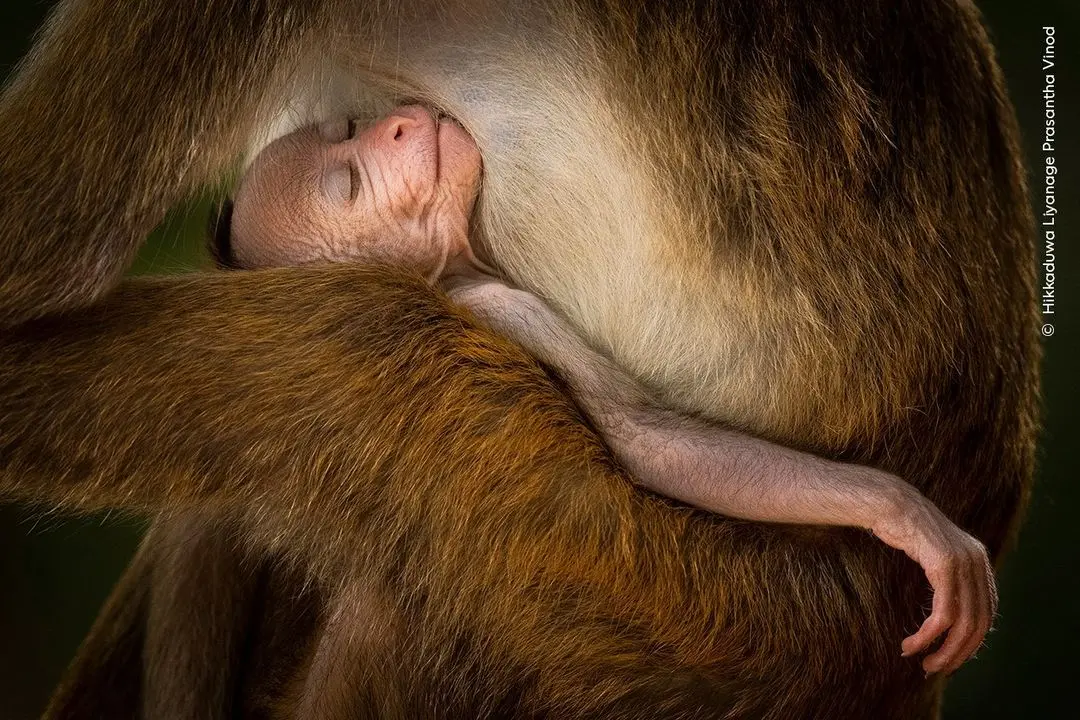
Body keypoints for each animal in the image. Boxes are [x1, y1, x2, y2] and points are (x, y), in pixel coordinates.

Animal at [0, 1, 1037, 718]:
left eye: (345, 138)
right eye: (350, 176)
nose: (399, 124)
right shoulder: (501, 305)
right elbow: (641, 436)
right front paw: (897, 511)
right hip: (696, 621)